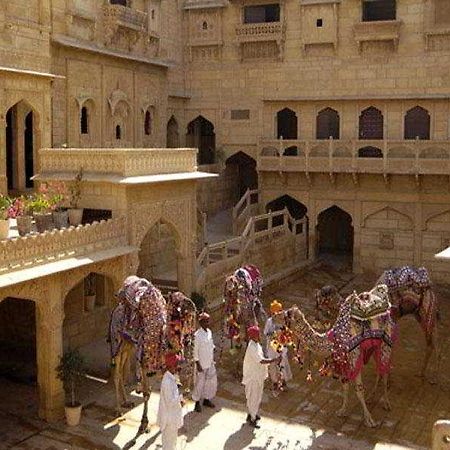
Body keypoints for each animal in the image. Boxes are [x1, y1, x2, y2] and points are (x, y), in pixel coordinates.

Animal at [108, 274, 196, 428]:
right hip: (116, 340)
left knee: (122, 366)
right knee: (117, 372)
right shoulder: (144, 363)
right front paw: (144, 423)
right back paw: (118, 409)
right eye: (177, 300)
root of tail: (116, 309)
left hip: (128, 344)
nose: (193, 305)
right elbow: (146, 392)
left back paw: (126, 402)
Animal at [274, 284, 398, 428]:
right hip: (373, 346)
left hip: (385, 342)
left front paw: (369, 420)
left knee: (384, 369)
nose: (274, 315)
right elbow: (344, 385)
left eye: (287, 314)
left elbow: (359, 390)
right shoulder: (342, 361)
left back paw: (386, 403)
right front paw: (342, 410)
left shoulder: (353, 359)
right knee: (379, 368)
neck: (332, 339)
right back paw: (372, 396)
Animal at [312, 266, 440, 378]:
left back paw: (429, 375)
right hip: (419, 316)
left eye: (324, 301)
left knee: (432, 345)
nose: (316, 315)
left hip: (427, 315)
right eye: (318, 301)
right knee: (431, 344)